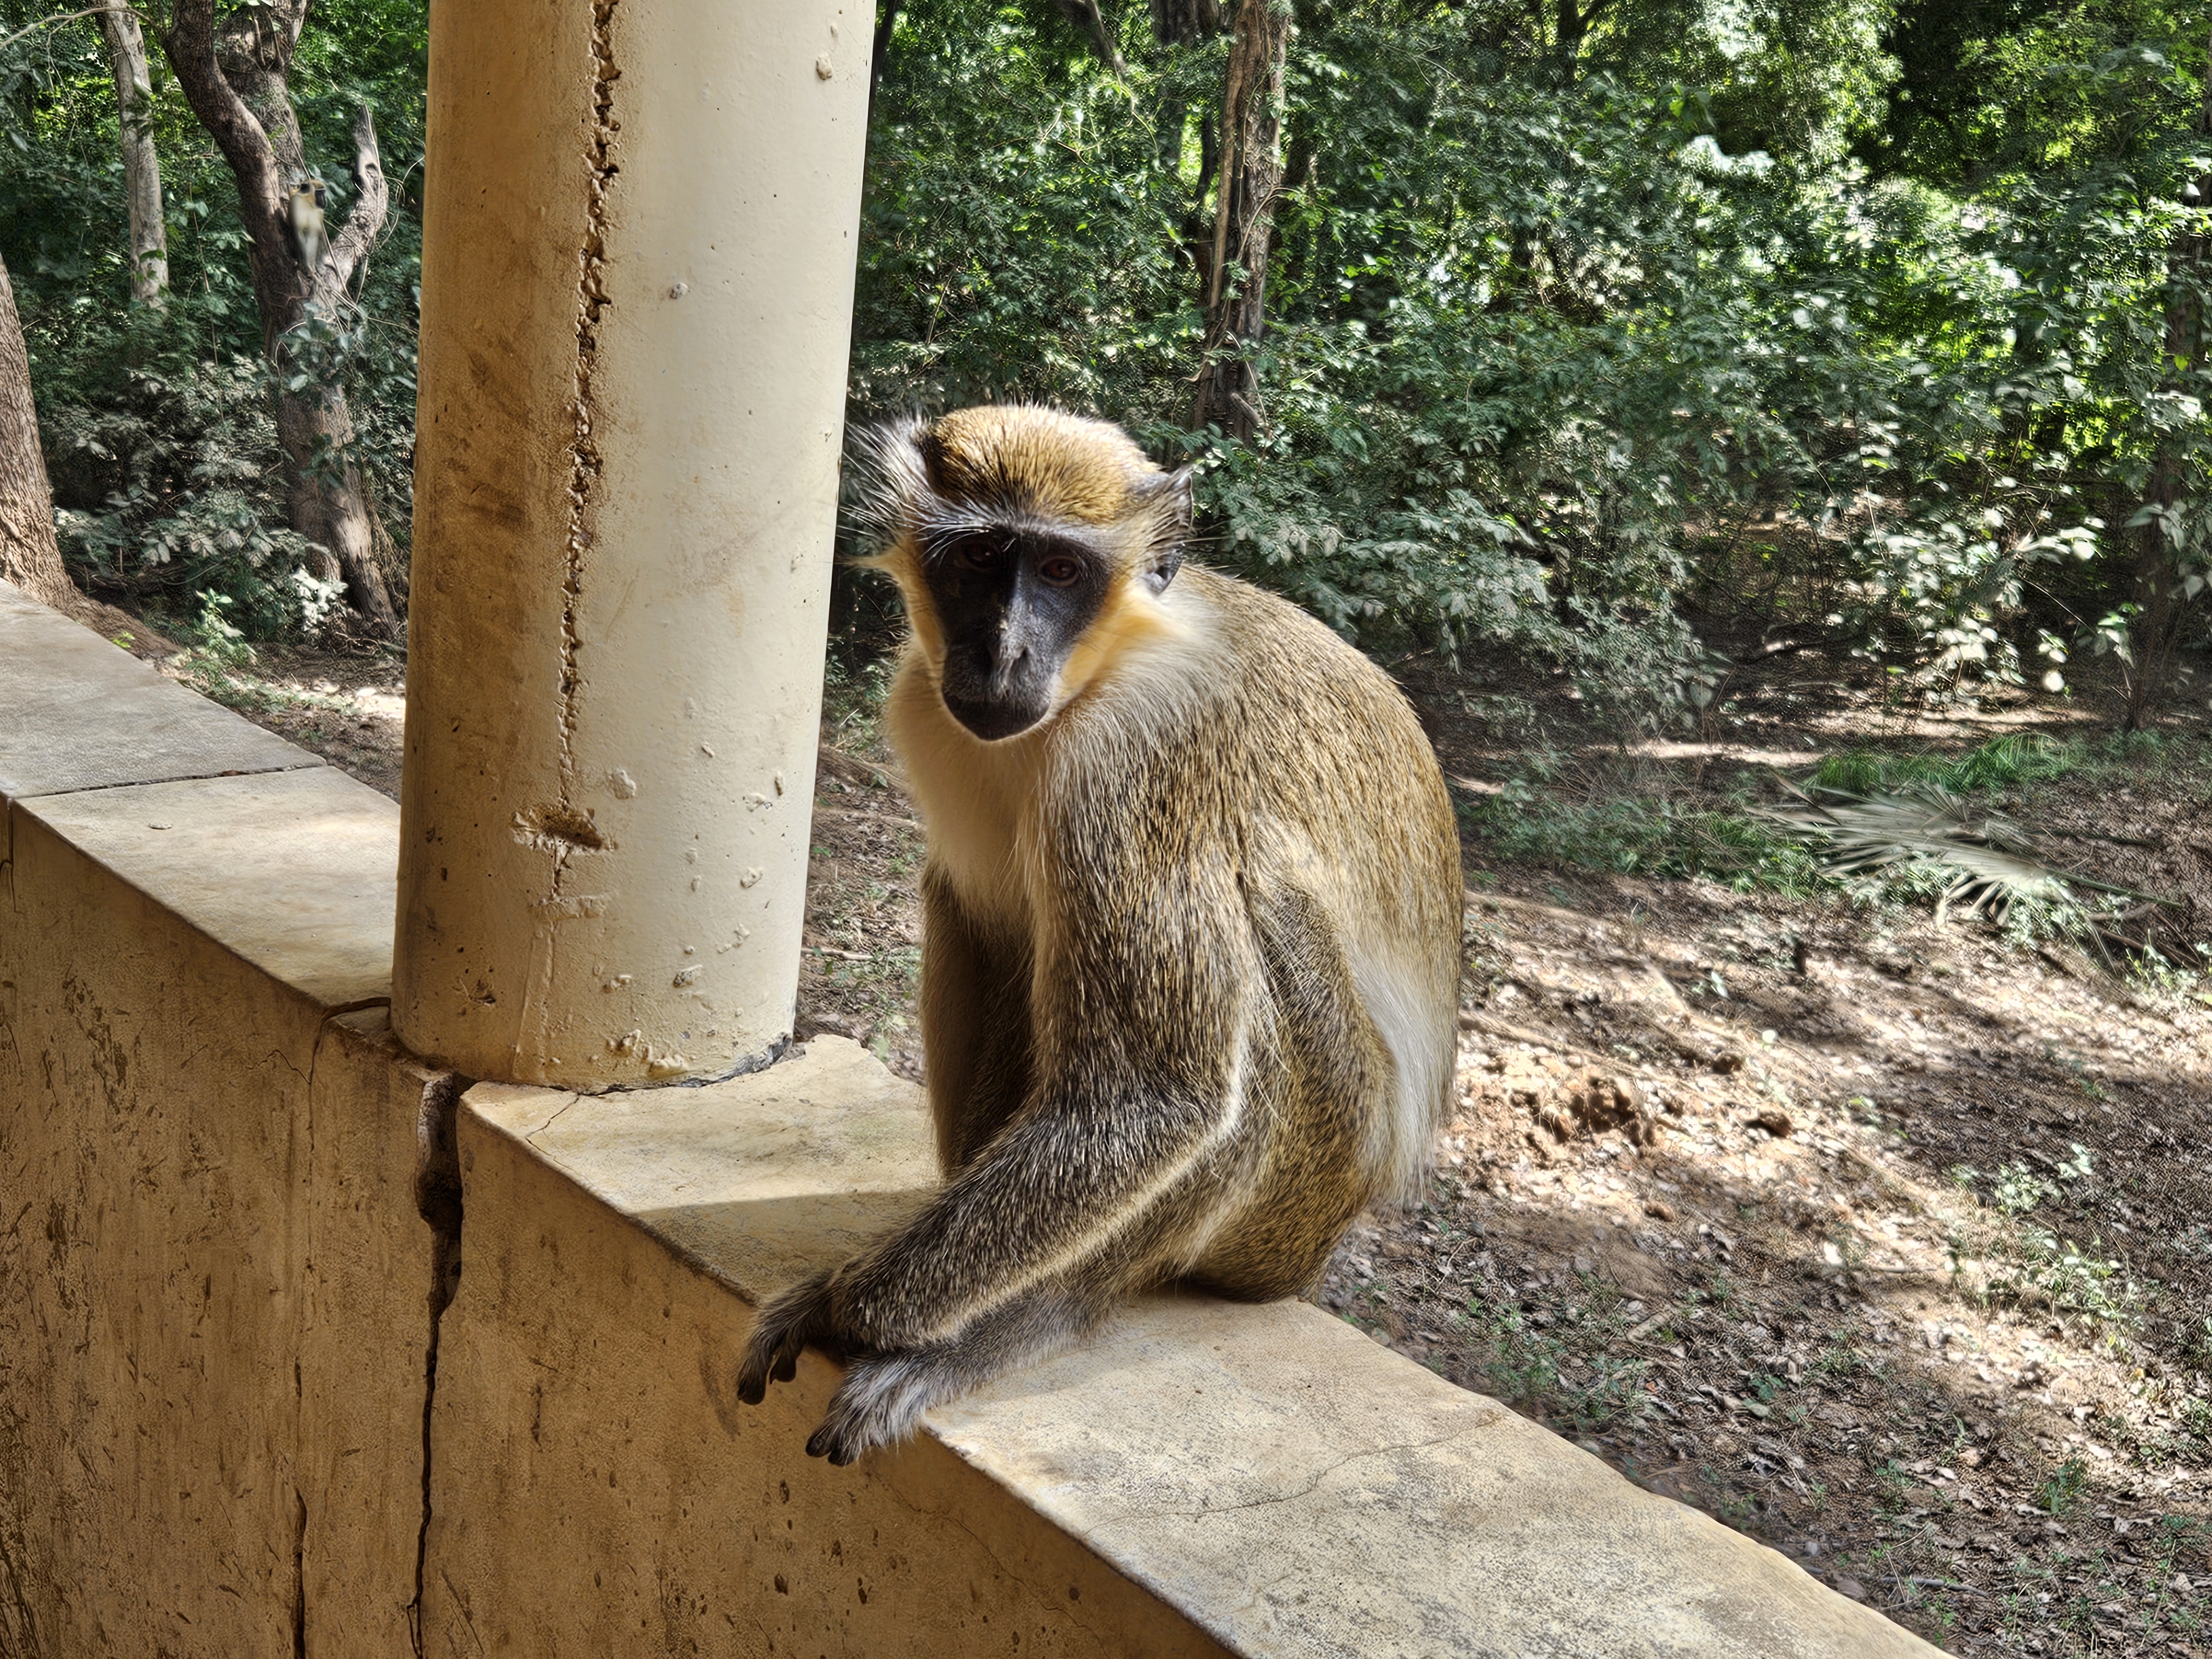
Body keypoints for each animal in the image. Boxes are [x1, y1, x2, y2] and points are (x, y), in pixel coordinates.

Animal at [737, 404, 1463, 1464]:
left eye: (1060, 571)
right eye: (980, 559)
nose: (1003, 654)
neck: (1106, 666)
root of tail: (1317, 1252)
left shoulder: (1138, 752)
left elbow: (1155, 1095)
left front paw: (849, 1308)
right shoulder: (926, 707)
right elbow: (999, 931)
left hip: (1315, 1179)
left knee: (1248, 947)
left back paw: (1035, 1316)